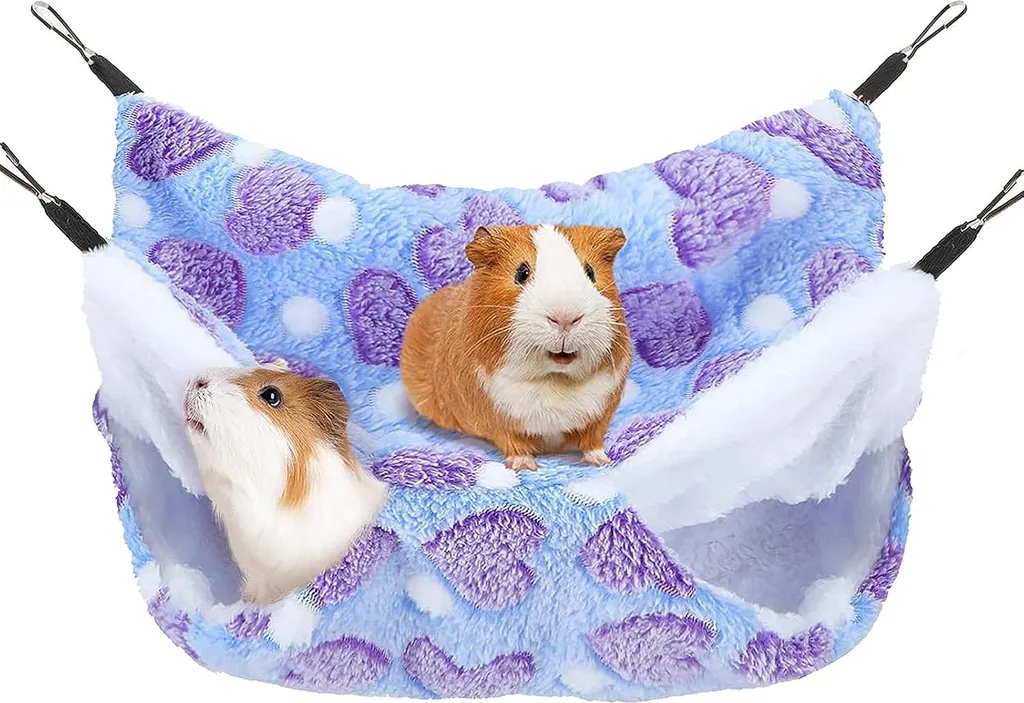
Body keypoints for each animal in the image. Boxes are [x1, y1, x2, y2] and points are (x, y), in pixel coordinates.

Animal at [401, 223, 632, 470]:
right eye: (521, 273)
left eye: (590, 272)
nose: (566, 318)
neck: (554, 378)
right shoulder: (497, 419)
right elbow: (513, 443)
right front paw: (526, 466)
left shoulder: (601, 413)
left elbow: (593, 440)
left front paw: (602, 462)